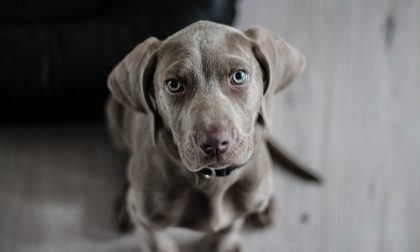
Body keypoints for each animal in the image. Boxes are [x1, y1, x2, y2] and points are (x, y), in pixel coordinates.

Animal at [106, 20, 306, 251]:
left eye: (239, 76)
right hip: (113, 115)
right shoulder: (149, 226)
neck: (212, 181)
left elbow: (223, 238)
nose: (215, 143)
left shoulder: (234, 218)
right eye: (174, 84)